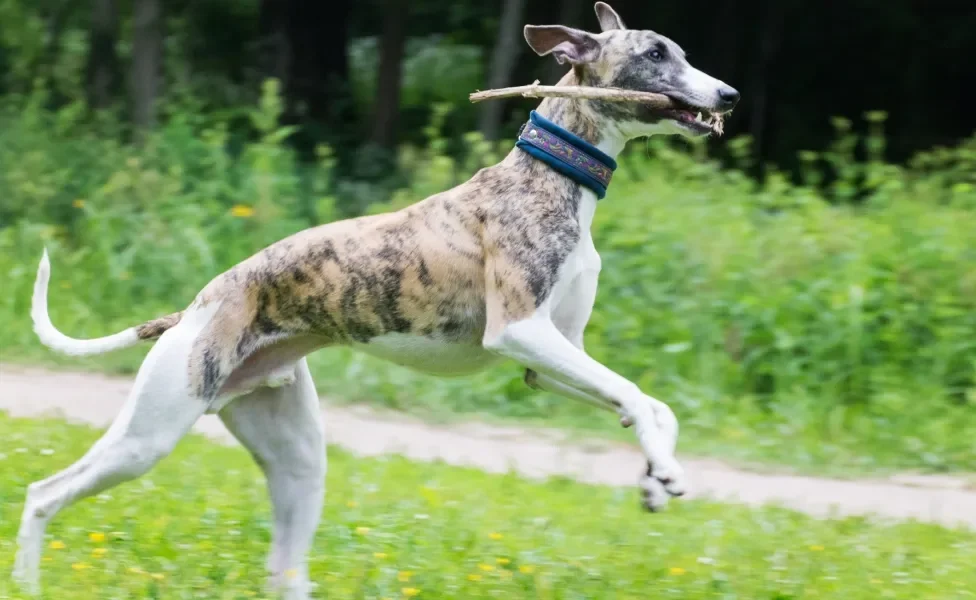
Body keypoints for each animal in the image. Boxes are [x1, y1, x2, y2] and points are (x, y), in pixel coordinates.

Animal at [13, 3, 740, 596]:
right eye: (656, 54)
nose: (729, 94)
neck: (550, 176)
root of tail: (193, 307)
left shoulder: (548, 357)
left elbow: (649, 402)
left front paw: (655, 475)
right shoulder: (520, 332)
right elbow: (635, 394)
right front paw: (662, 470)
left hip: (297, 461)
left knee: (285, 567)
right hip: (152, 432)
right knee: (45, 492)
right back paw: (26, 579)